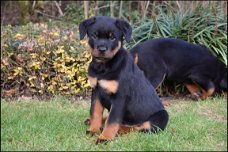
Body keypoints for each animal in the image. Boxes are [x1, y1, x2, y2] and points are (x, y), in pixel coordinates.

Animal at [79, 16, 168, 144]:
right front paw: (93, 130)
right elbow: (95, 112)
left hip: (161, 117)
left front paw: (104, 138)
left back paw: (120, 130)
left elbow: (112, 121)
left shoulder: (120, 97)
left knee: (137, 128)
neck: (103, 67)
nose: (102, 49)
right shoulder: (96, 91)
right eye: (94, 36)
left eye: (112, 37)